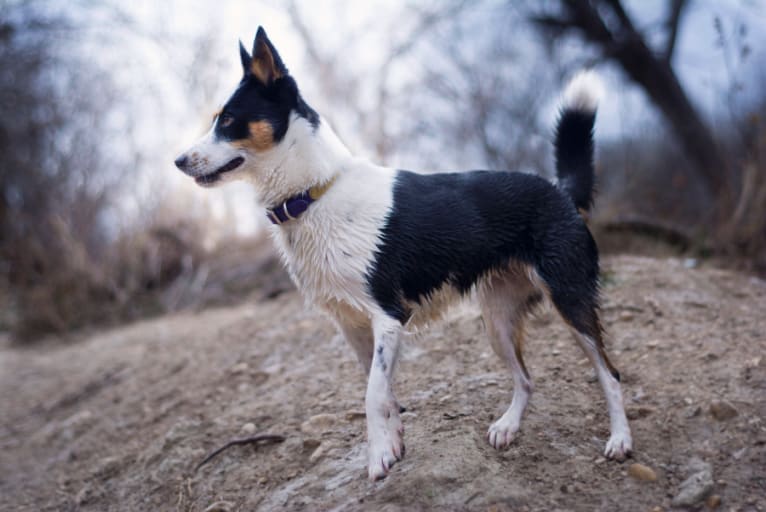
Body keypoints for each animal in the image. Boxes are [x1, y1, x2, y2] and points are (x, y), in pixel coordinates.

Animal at [176, 27, 636, 480]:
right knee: (525, 379)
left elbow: (372, 395)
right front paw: (393, 441)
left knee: (609, 373)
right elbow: (384, 391)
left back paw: (620, 440)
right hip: (497, 319)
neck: (315, 192)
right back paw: (508, 426)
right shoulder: (354, 327)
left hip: (569, 299)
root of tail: (560, 192)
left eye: (228, 120)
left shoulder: (389, 316)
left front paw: (379, 456)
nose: (178, 161)